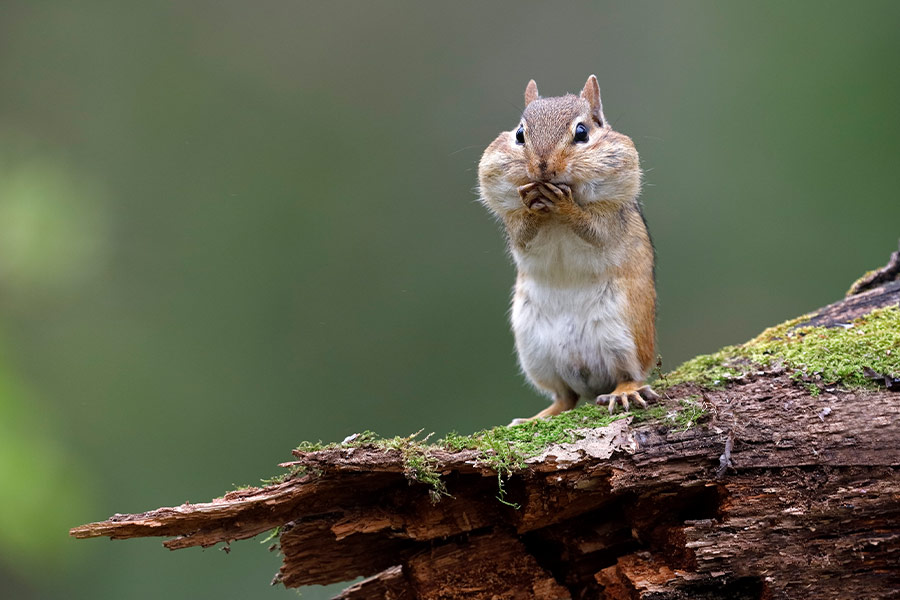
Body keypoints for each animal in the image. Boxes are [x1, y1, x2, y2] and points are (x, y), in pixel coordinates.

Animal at [478, 75, 658, 423]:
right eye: (519, 134)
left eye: (582, 133)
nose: (542, 166)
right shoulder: (514, 225)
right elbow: (521, 232)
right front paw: (532, 202)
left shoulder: (609, 217)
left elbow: (593, 228)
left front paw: (564, 204)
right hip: (535, 351)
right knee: (565, 397)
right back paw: (538, 416)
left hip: (625, 335)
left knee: (629, 374)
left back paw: (624, 391)